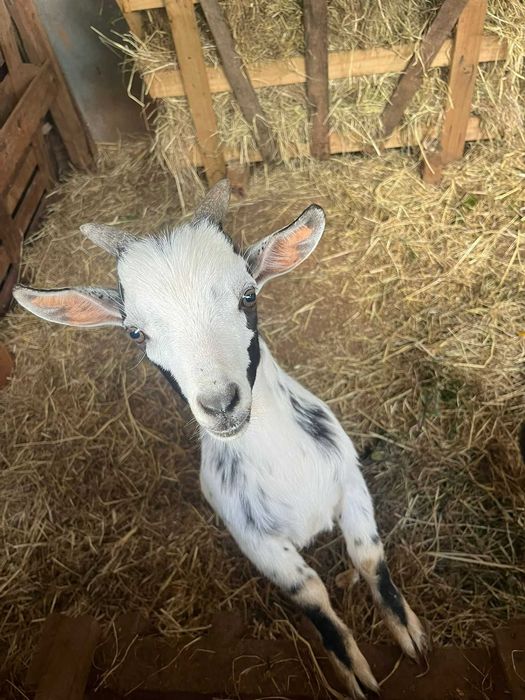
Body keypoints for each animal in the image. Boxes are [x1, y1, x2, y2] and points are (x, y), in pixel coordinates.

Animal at [14, 181, 427, 697]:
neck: (288, 468)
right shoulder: (254, 540)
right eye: (135, 333)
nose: (220, 404)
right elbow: (310, 593)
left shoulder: (350, 482)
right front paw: (353, 670)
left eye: (248, 295)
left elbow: (369, 556)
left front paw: (408, 631)